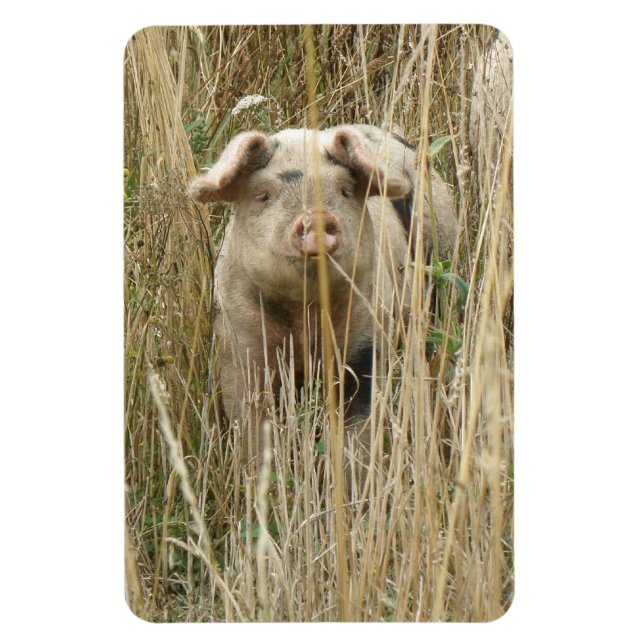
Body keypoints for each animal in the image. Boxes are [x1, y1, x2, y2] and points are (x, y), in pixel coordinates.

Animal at [189, 124, 457, 468]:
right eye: (264, 195)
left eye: (344, 190)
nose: (316, 215)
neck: (304, 315)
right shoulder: (239, 344)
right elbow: (252, 427)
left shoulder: (366, 340)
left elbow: (358, 431)